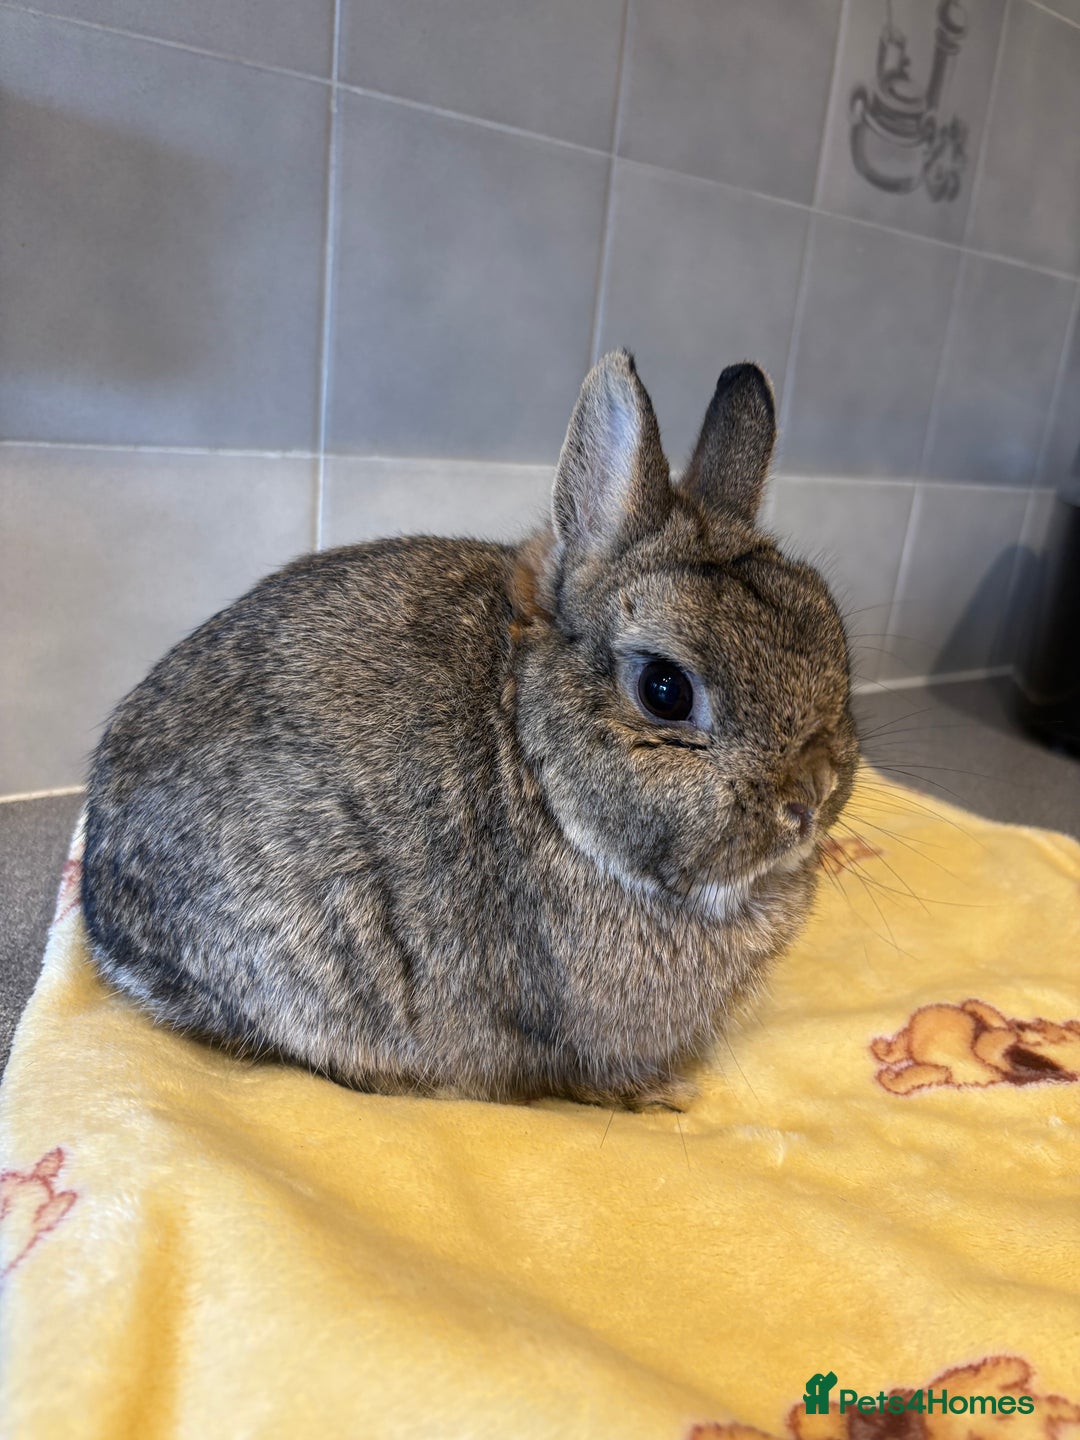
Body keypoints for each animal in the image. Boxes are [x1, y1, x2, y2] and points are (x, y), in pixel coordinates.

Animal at [81, 352, 859, 1110]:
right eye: (665, 691)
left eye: (835, 640)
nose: (810, 799)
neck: (544, 775)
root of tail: (105, 919)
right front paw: (669, 1094)